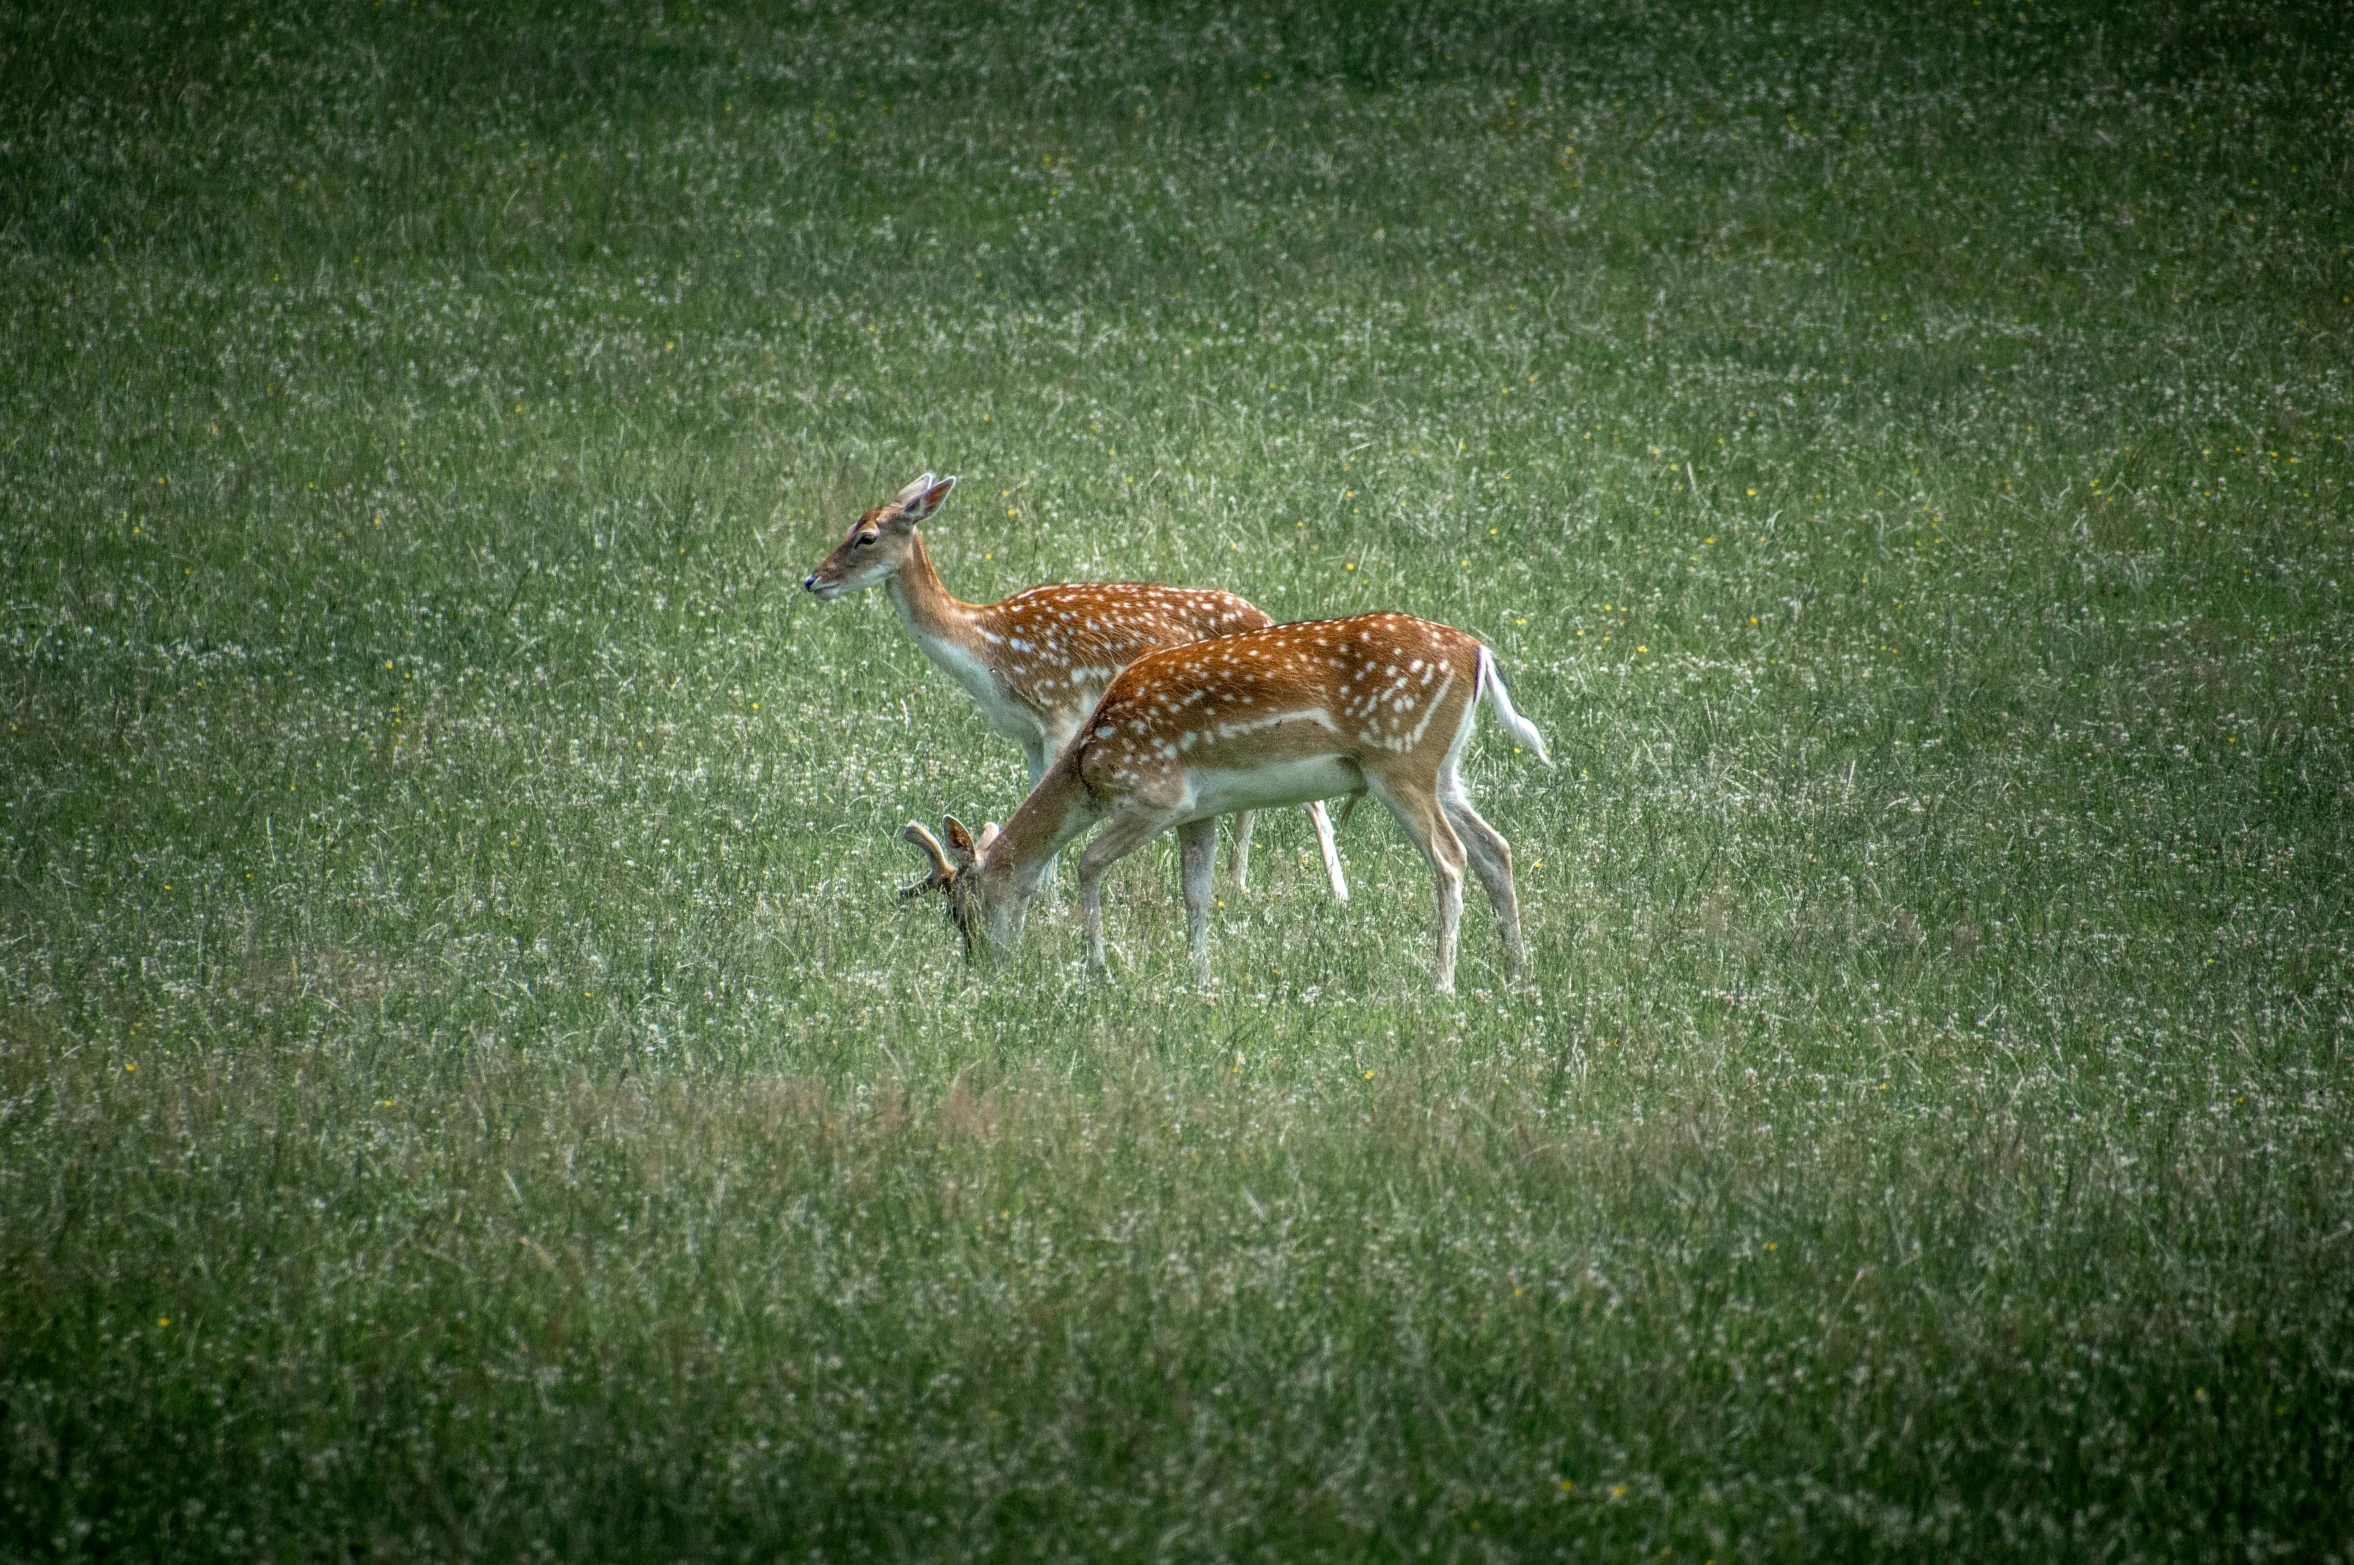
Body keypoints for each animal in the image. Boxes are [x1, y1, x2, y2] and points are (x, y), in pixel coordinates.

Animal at [809, 470, 1355, 898]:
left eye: (866, 537)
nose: (812, 581)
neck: (987, 651)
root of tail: (1267, 617)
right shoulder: (1028, 734)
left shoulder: (1059, 710)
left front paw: (1047, 899)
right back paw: (1237, 886)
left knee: (1315, 802)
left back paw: (1338, 894)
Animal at [894, 611, 1544, 988]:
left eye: (960, 910)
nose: (981, 967)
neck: (1091, 764)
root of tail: (1478, 655)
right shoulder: (1199, 812)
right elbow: (1197, 893)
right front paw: (1199, 979)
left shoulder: (1158, 796)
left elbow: (1086, 862)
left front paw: (1098, 969)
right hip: (1444, 772)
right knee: (1496, 848)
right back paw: (1517, 970)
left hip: (1401, 761)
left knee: (1451, 859)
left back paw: (1441, 983)